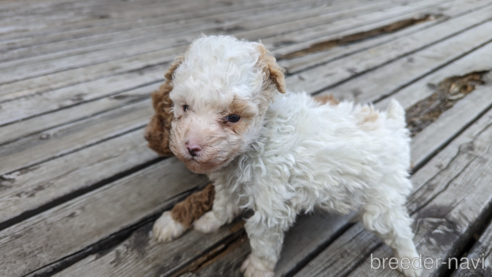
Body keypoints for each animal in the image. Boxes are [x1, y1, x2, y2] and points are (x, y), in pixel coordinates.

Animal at [153, 35, 418, 276]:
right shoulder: (229, 184)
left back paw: (410, 263)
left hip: (382, 201)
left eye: (234, 117)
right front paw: (209, 222)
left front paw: (257, 270)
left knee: (400, 230)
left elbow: (263, 245)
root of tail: (393, 126)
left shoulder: (270, 209)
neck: (258, 139)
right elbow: (222, 206)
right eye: (185, 107)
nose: (192, 147)